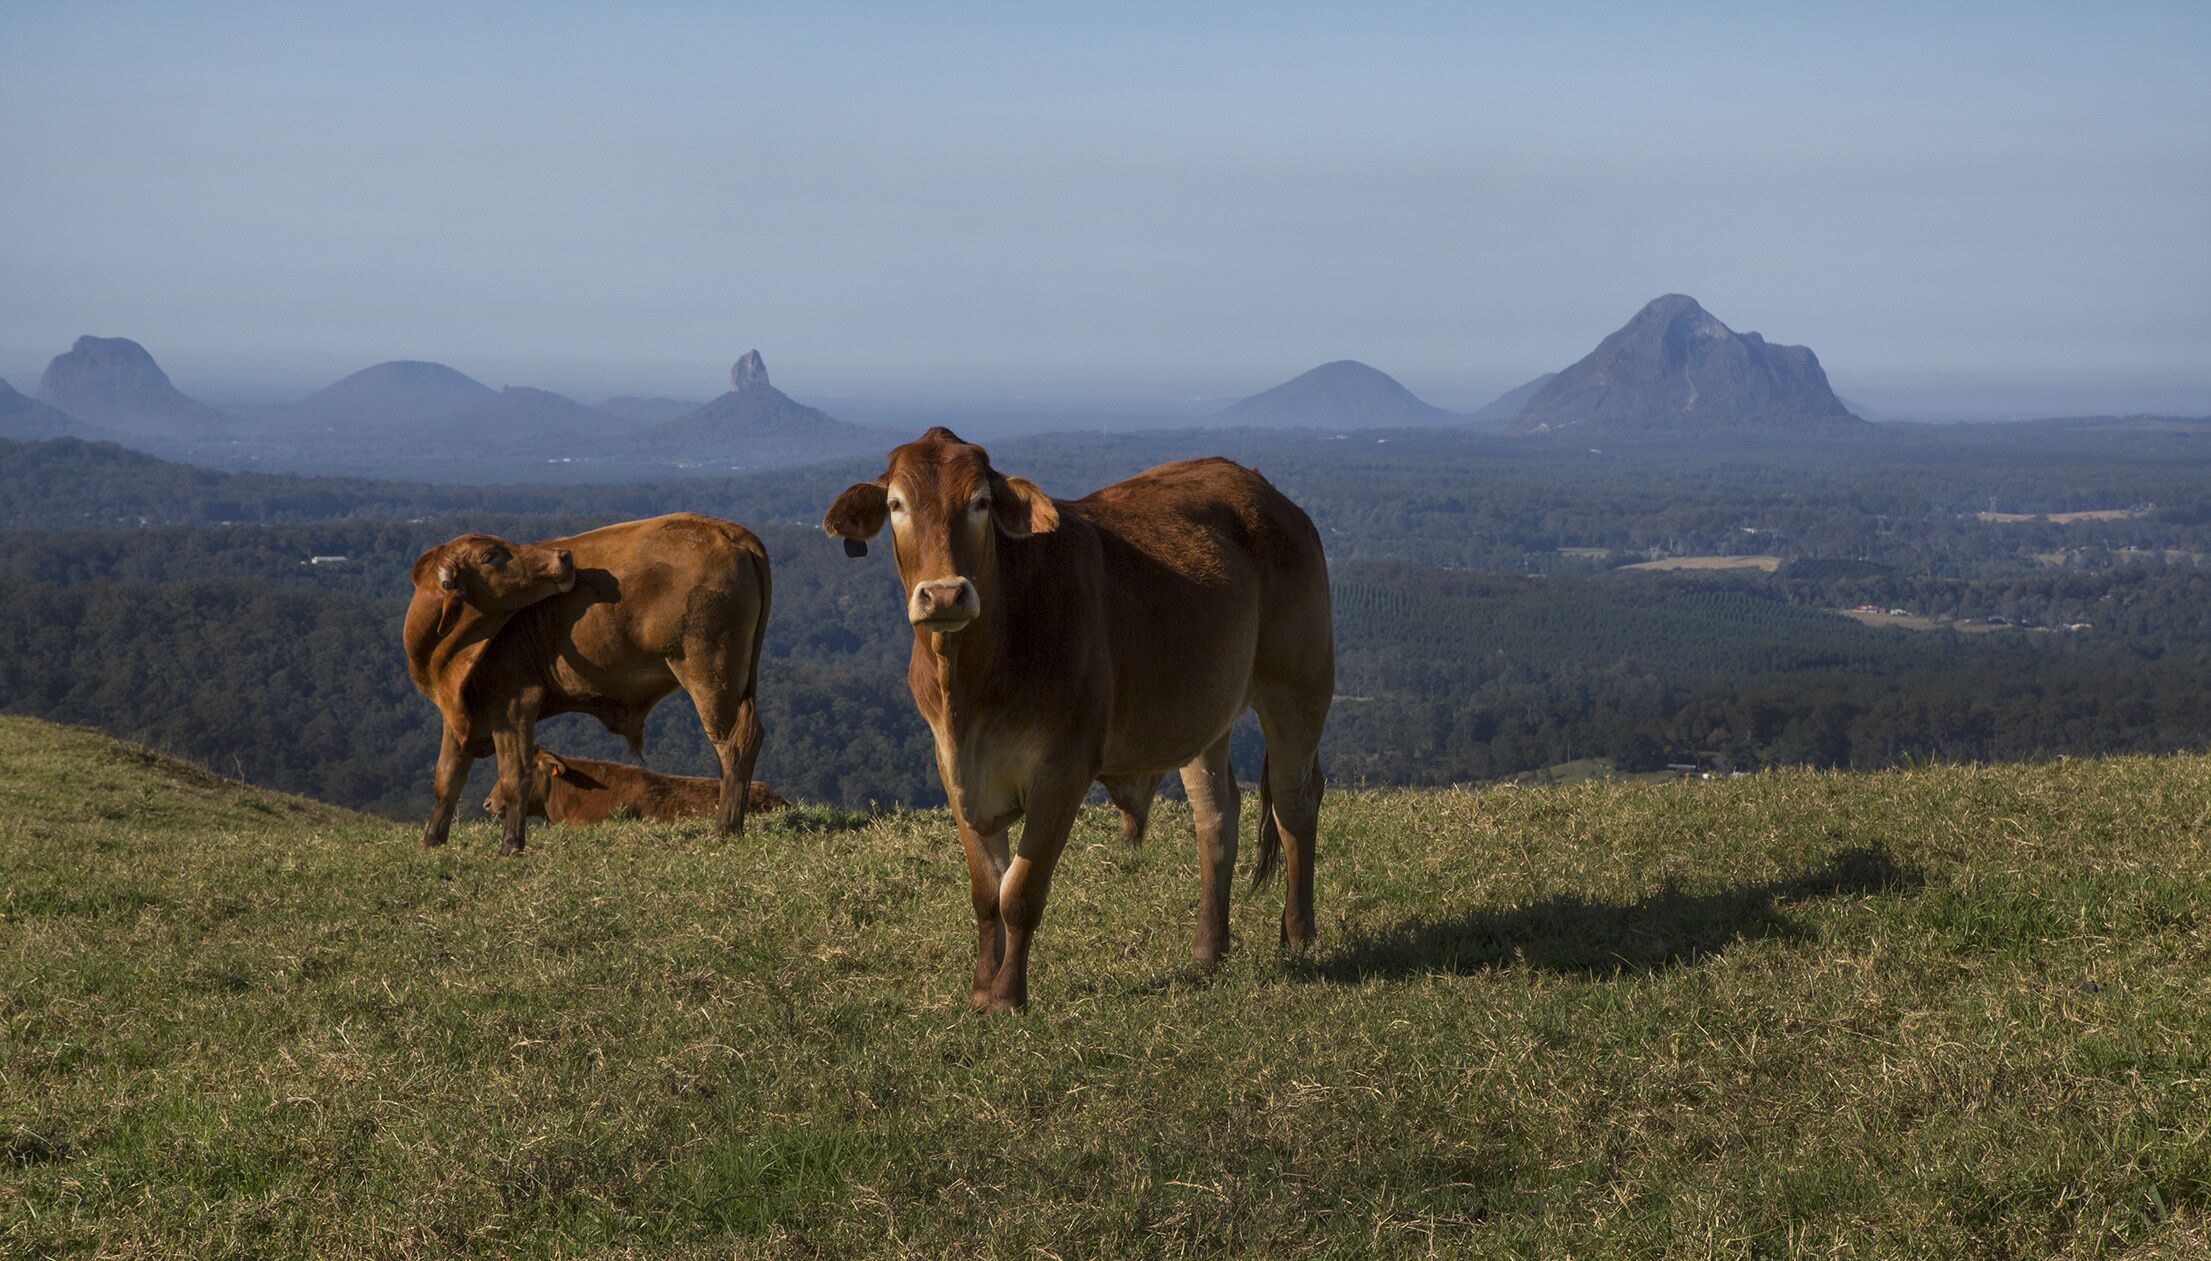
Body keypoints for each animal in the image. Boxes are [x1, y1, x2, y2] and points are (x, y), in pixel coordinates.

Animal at [402, 511, 773, 853]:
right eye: (490, 555)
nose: (564, 557)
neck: (444, 656)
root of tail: (727, 530)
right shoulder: (459, 712)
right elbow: (447, 779)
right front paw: (431, 841)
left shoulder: (514, 703)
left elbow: (514, 775)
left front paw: (511, 844)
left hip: (709, 676)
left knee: (735, 744)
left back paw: (726, 827)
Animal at [826, 426, 1326, 1004]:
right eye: (896, 504)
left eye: (980, 502)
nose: (945, 594)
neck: (971, 688)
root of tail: (1264, 490)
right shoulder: (951, 766)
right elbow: (986, 890)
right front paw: (980, 988)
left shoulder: (1064, 767)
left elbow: (1020, 891)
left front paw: (1007, 996)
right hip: (1205, 714)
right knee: (1217, 816)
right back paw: (1208, 949)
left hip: (1298, 686)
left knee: (1294, 803)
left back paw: (1299, 935)